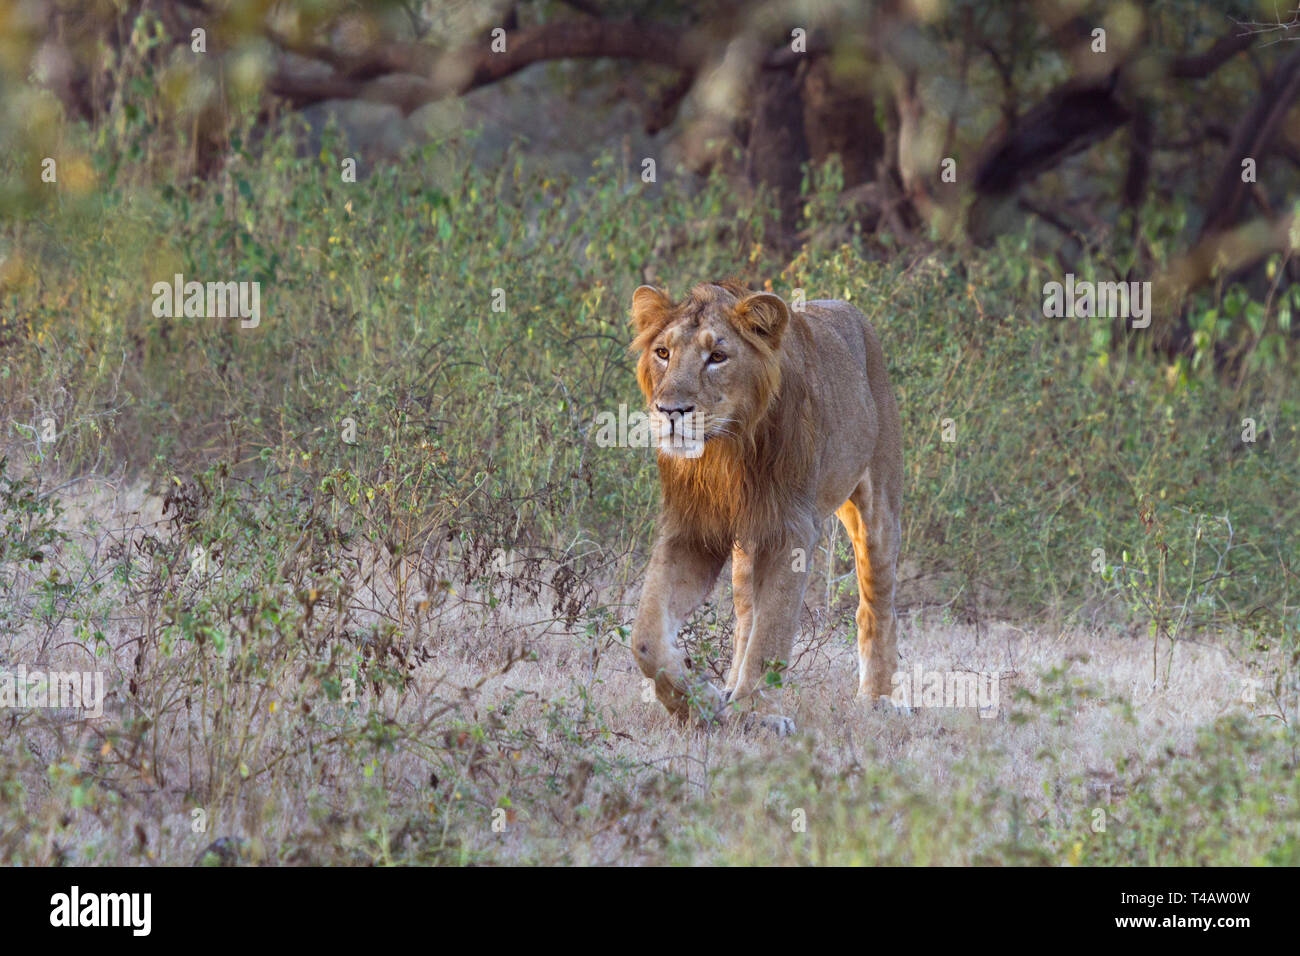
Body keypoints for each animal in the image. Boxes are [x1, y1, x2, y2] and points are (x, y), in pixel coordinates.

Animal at [624, 280, 899, 738]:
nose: (670, 412)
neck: (724, 453)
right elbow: (646, 636)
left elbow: (773, 630)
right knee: (745, 615)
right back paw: (730, 687)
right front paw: (698, 703)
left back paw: (878, 699)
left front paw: (758, 715)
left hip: (877, 505)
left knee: (875, 604)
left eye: (717, 357)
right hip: (745, 547)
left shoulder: (792, 530)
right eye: (663, 352)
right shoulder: (691, 530)